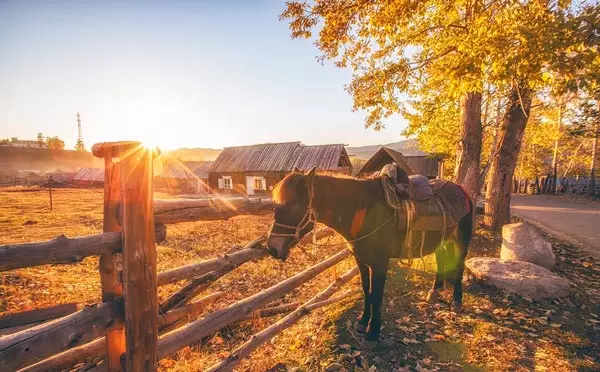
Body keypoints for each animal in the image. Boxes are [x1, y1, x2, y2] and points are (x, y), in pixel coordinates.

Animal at [268, 167, 474, 348]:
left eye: (293, 206)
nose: (272, 248)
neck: (364, 212)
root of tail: (462, 190)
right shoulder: (361, 260)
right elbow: (366, 290)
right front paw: (362, 321)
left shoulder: (380, 263)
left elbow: (376, 295)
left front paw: (372, 333)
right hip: (443, 239)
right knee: (442, 261)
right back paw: (435, 291)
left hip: (461, 239)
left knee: (460, 265)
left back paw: (457, 301)